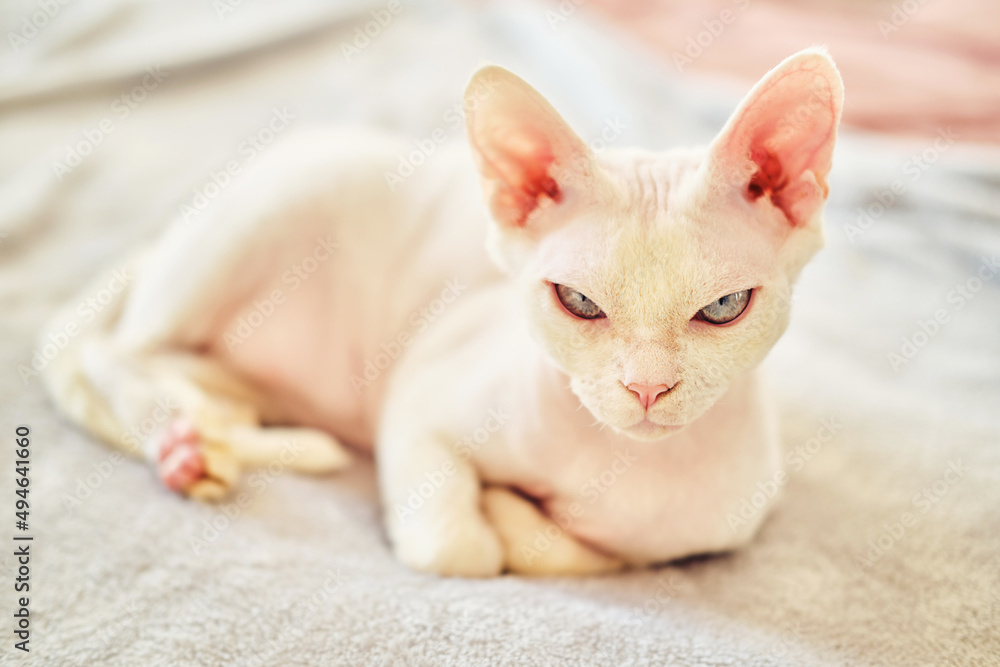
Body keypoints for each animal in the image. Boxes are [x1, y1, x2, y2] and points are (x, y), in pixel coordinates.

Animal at [43, 47, 844, 576]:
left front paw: (522, 513)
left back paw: (216, 430)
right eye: (579, 302)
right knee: (113, 351)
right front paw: (500, 510)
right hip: (289, 192)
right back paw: (186, 446)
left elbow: (591, 555)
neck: (619, 465)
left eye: (724, 307)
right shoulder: (420, 403)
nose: (646, 389)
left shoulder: (714, 532)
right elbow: (459, 547)